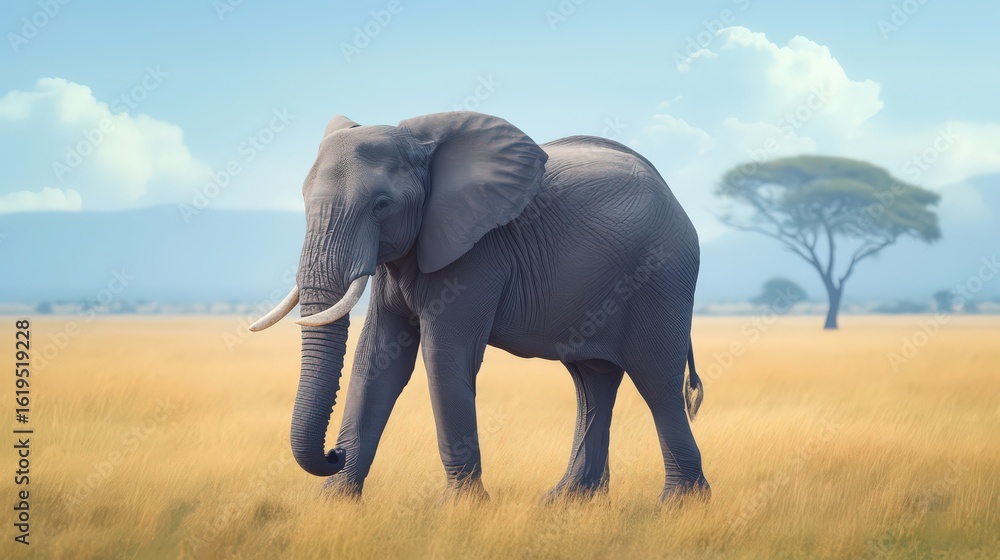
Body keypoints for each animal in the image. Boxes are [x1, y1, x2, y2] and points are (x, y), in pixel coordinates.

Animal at [251, 111, 710, 503]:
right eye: (303, 200)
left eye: (381, 205)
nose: (333, 453)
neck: (421, 143)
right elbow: (378, 358)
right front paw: (334, 503)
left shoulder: (477, 251)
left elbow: (444, 356)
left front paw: (459, 508)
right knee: (593, 382)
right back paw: (567, 501)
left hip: (661, 276)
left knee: (657, 381)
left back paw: (678, 505)